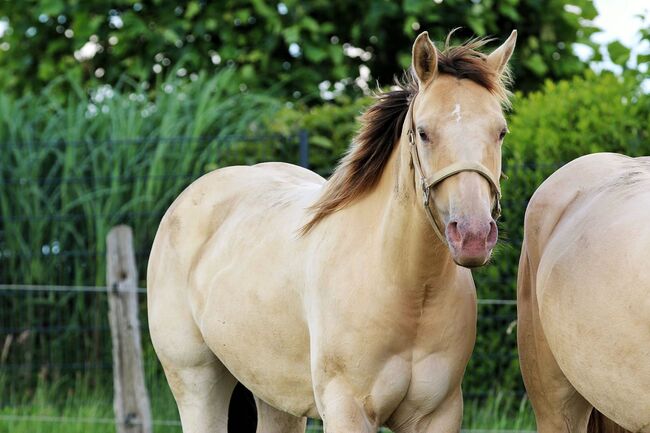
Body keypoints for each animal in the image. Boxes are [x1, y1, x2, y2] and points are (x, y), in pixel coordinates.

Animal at [147, 31, 516, 432]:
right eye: (423, 132)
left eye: (500, 132)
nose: (473, 235)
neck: (407, 287)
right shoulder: (348, 410)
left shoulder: (438, 416)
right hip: (197, 381)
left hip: (274, 396)